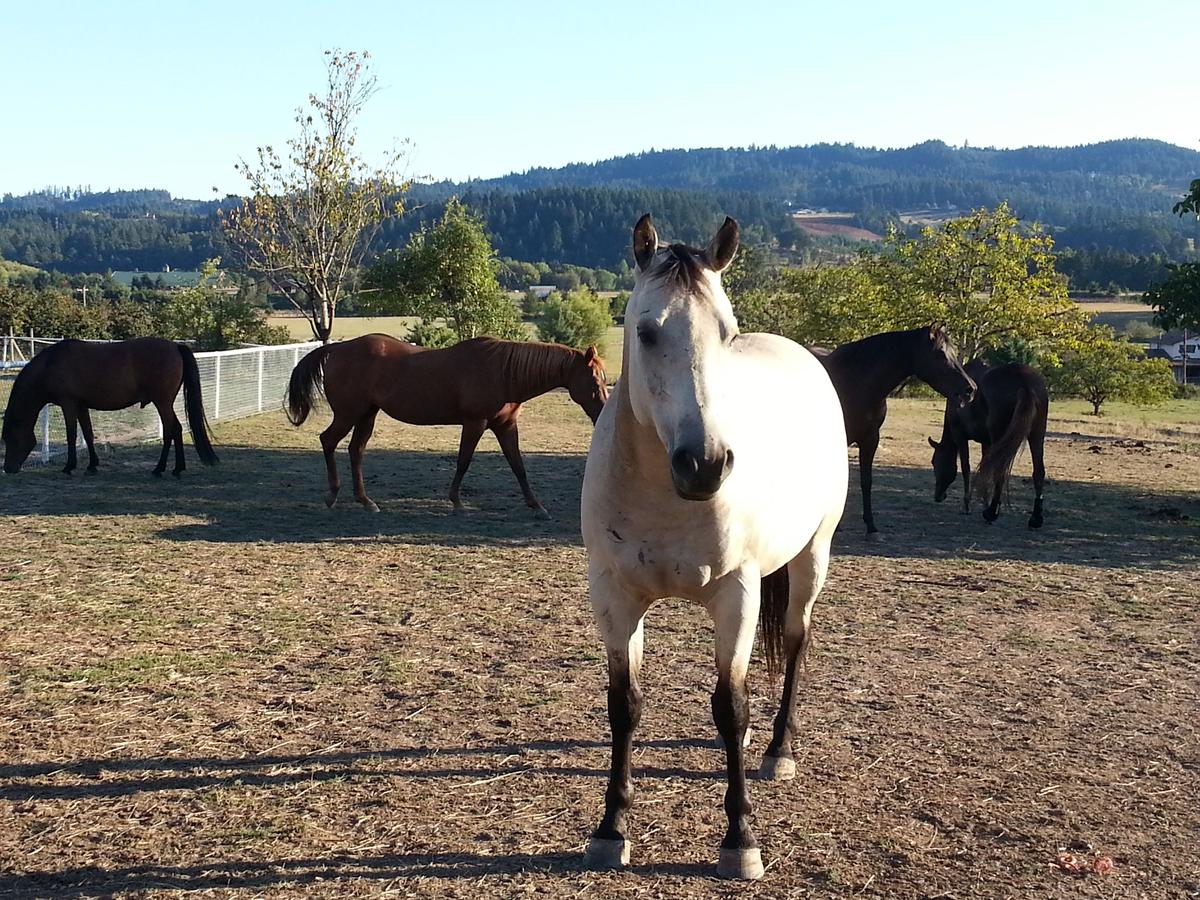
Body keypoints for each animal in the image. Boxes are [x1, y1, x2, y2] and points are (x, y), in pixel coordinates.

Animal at [2, 337, 218, 476]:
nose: (7, 469)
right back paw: (177, 468)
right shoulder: (81, 406)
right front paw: (92, 466)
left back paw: (159, 469)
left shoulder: (68, 404)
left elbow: (71, 435)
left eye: (10, 439)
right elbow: (88, 434)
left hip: (162, 403)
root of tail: (175, 347)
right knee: (177, 429)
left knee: (170, 431)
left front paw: (69, 466)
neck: (50, 365)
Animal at [285, 333, 608, 515]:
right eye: (594, 381)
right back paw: (332, 495)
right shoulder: (475, 423)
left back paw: (366, 501)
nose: (602, 414)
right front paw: (456, 502)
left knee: (356, 451)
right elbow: (463, 461)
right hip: (348, 414)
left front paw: (536, 505)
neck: (504, 372)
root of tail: (337, 350)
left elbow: (518, 466)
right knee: (328, 441)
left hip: (367, 415)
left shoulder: (505, 426)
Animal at [580, 216, 848, 880]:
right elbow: (624, 706)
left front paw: (740, 839)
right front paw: (610, 828)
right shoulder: (615, 597)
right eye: (646, 330)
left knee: (797, 643)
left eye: (725, 332)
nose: (704, 464)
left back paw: (778, 749)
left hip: (813, 557)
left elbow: (731, 707)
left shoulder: (737, 596)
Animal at [811, 326, 976, 538]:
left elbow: (866, 481)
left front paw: (870, 526)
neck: (855, 383)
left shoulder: (871, 438)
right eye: (940, 353)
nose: (971, 389)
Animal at [928, 359, 1049, 527]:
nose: (938, 496)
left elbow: (966, 468)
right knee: (1038, 471)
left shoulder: (960, 436)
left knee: (1000, 471)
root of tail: (1024, 382)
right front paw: (984, 501)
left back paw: (991, 512)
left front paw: (967, 505)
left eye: (934, 462)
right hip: (1037, 434)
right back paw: (1035, 518)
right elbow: (985, 468)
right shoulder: (987, 443)